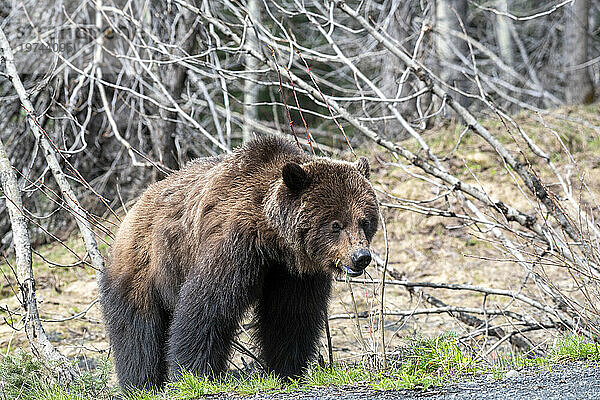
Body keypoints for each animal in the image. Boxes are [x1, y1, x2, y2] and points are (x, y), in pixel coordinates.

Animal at [100, 136, 378, 390]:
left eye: (364, 221)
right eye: (335, 225)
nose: (361, 256)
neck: (272, 239)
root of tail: (132, 209)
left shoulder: (293, 273)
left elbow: (290, 316)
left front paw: (287, 370)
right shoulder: (233, 245)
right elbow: (207, 307)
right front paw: (195, 374)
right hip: (144, 267)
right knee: (137, 331)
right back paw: (140, 384)